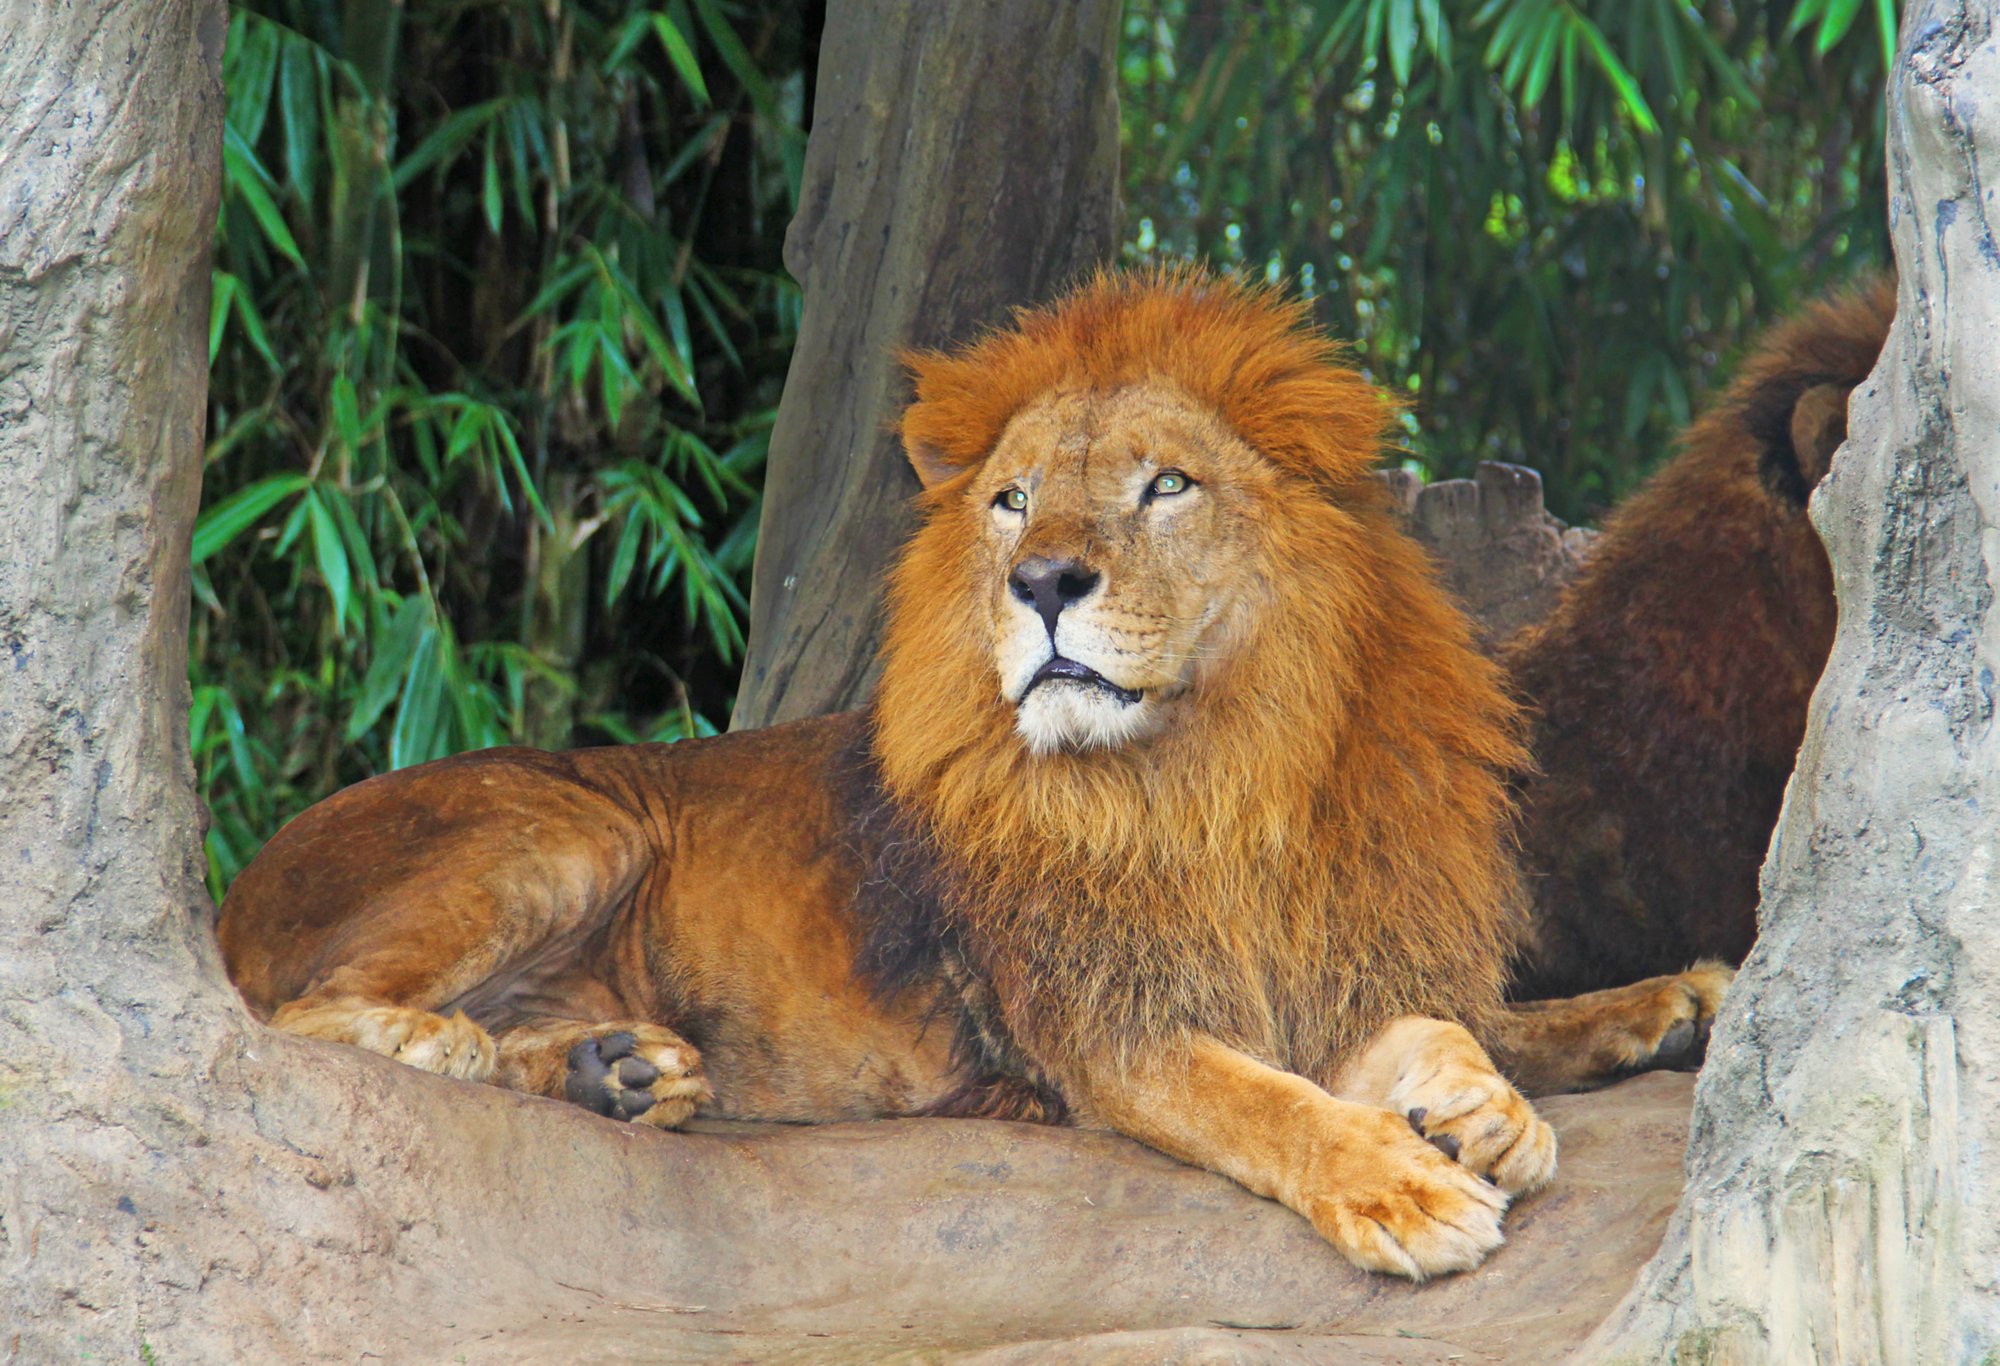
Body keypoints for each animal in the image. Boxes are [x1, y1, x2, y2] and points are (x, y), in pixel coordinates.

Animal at [219, 270, 1727, 1280]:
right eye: (1010, 500)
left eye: (1165, 486)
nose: (1042, 579)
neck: (1220, 777)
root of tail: (236, 881)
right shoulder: (1108, 1032)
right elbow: (1265, 1102)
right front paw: (1402, 1186)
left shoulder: (1341, 959)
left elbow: (1465, 1024)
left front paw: (1501, 1098)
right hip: (566, 825)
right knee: (296, 1008)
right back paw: (460, 1043)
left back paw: (611, 1069)